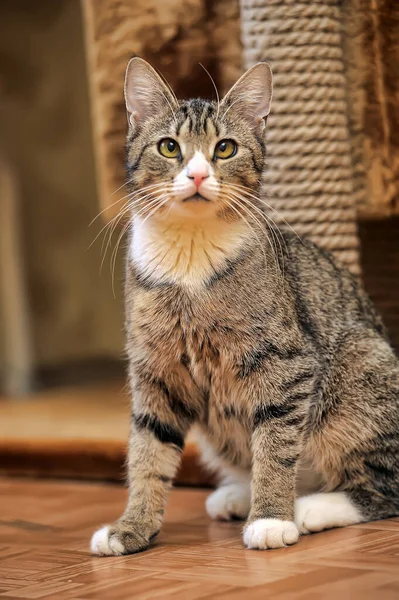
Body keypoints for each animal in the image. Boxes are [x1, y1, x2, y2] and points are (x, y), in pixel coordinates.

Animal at [90, 58, 399, 556]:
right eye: (170, 147)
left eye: (226, 148)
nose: (198, 175)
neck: (190, 256)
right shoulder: (156, 372)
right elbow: (147, 452)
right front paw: (132, 526)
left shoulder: (286, 366)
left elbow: (274, 445)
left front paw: (271, 517)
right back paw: (237, 494)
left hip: (359, 368)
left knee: (383, 485)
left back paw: (308, 507)